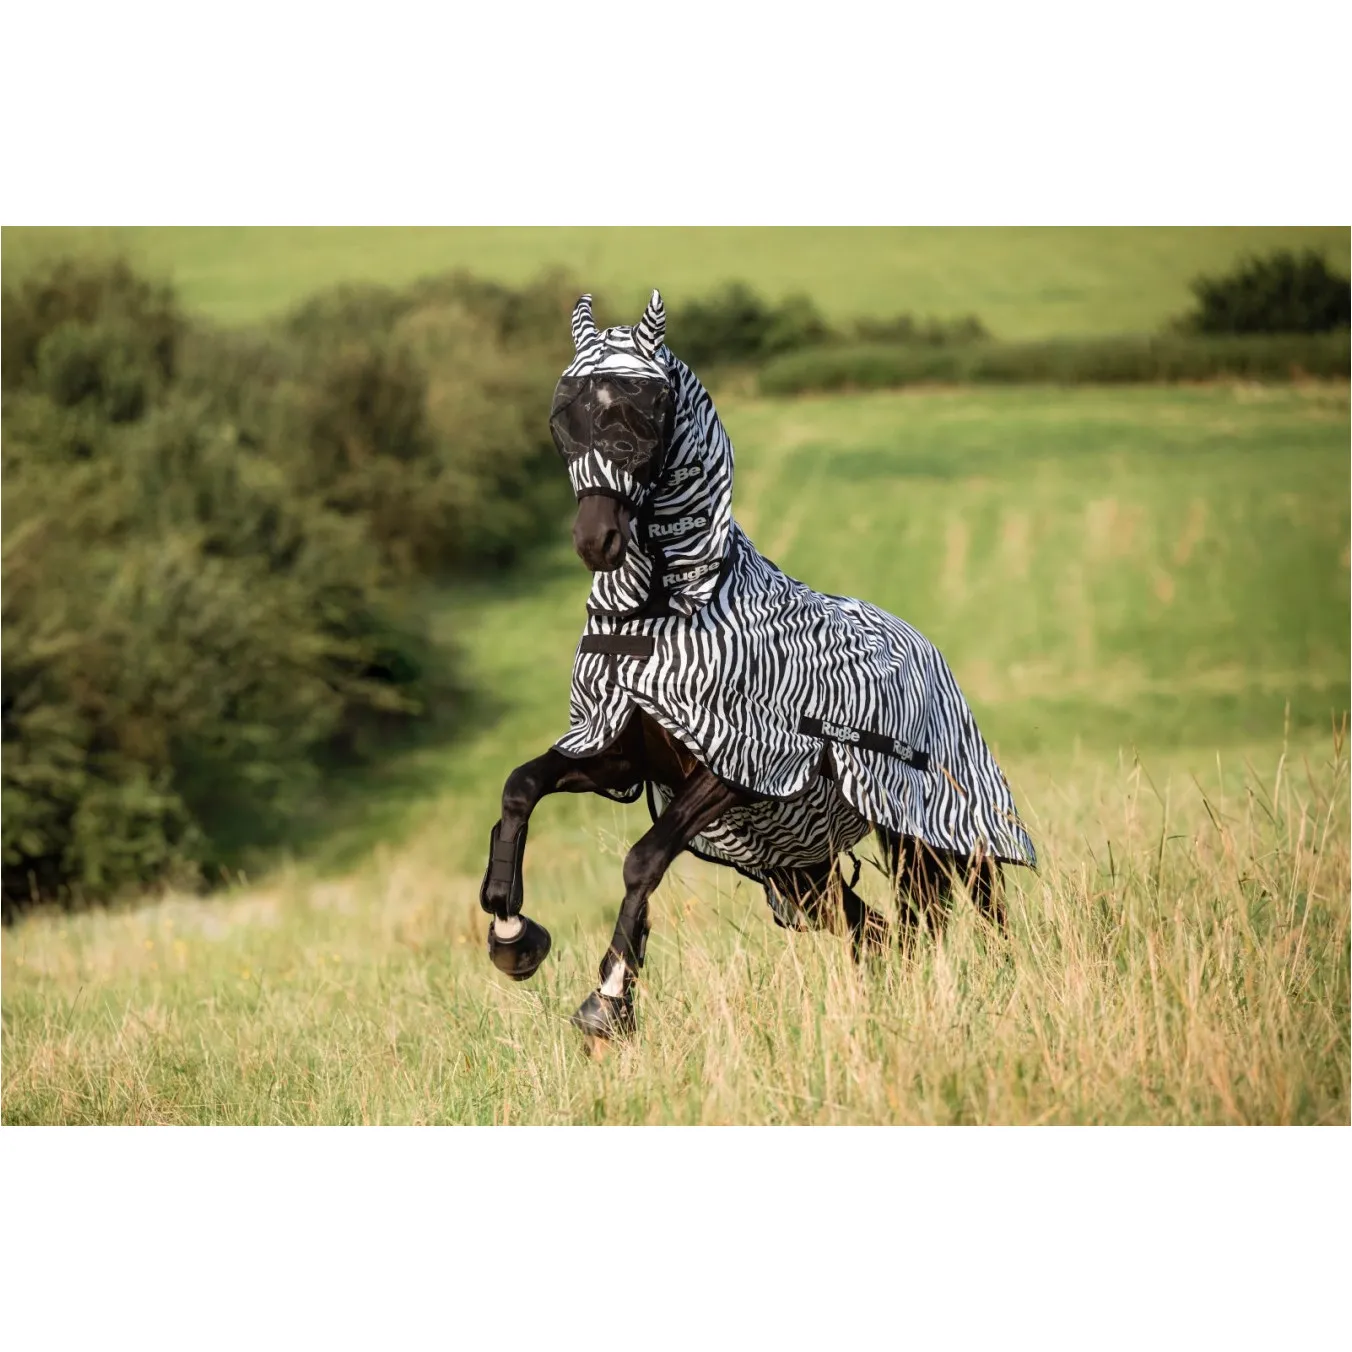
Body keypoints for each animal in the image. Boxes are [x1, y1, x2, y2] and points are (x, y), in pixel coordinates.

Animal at [480, 290, 1037, 1042]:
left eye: (646, 414)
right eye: (564, 416)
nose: (597, 540)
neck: (663, 614)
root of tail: (925, 648)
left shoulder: (737, 768)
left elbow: (644, 858)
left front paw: (609, 998)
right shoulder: (620, 755)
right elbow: (521, 787)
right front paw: (511, 934)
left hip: (942, 833)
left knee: (985, 910)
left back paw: (1014, 990)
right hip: (804, 874)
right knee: (882, 933)